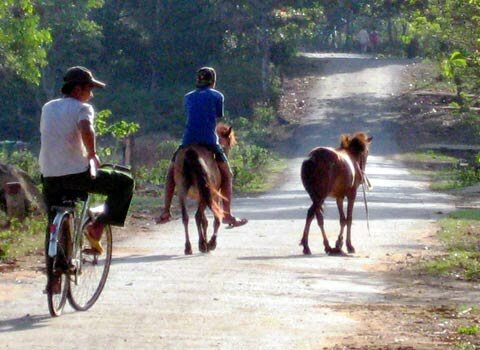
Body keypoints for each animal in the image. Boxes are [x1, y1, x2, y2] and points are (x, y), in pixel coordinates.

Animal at [175, 123, 237, 254]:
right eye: (229, 145)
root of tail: (191, 152)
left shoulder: (201, 196)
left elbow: (205, 221)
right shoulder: (215, 195)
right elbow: (215, 219)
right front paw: (211, 243)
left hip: (183, 191)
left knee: (186, 217)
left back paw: (189, 247)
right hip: (207, 193)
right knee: (198, 216)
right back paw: (204, 244)